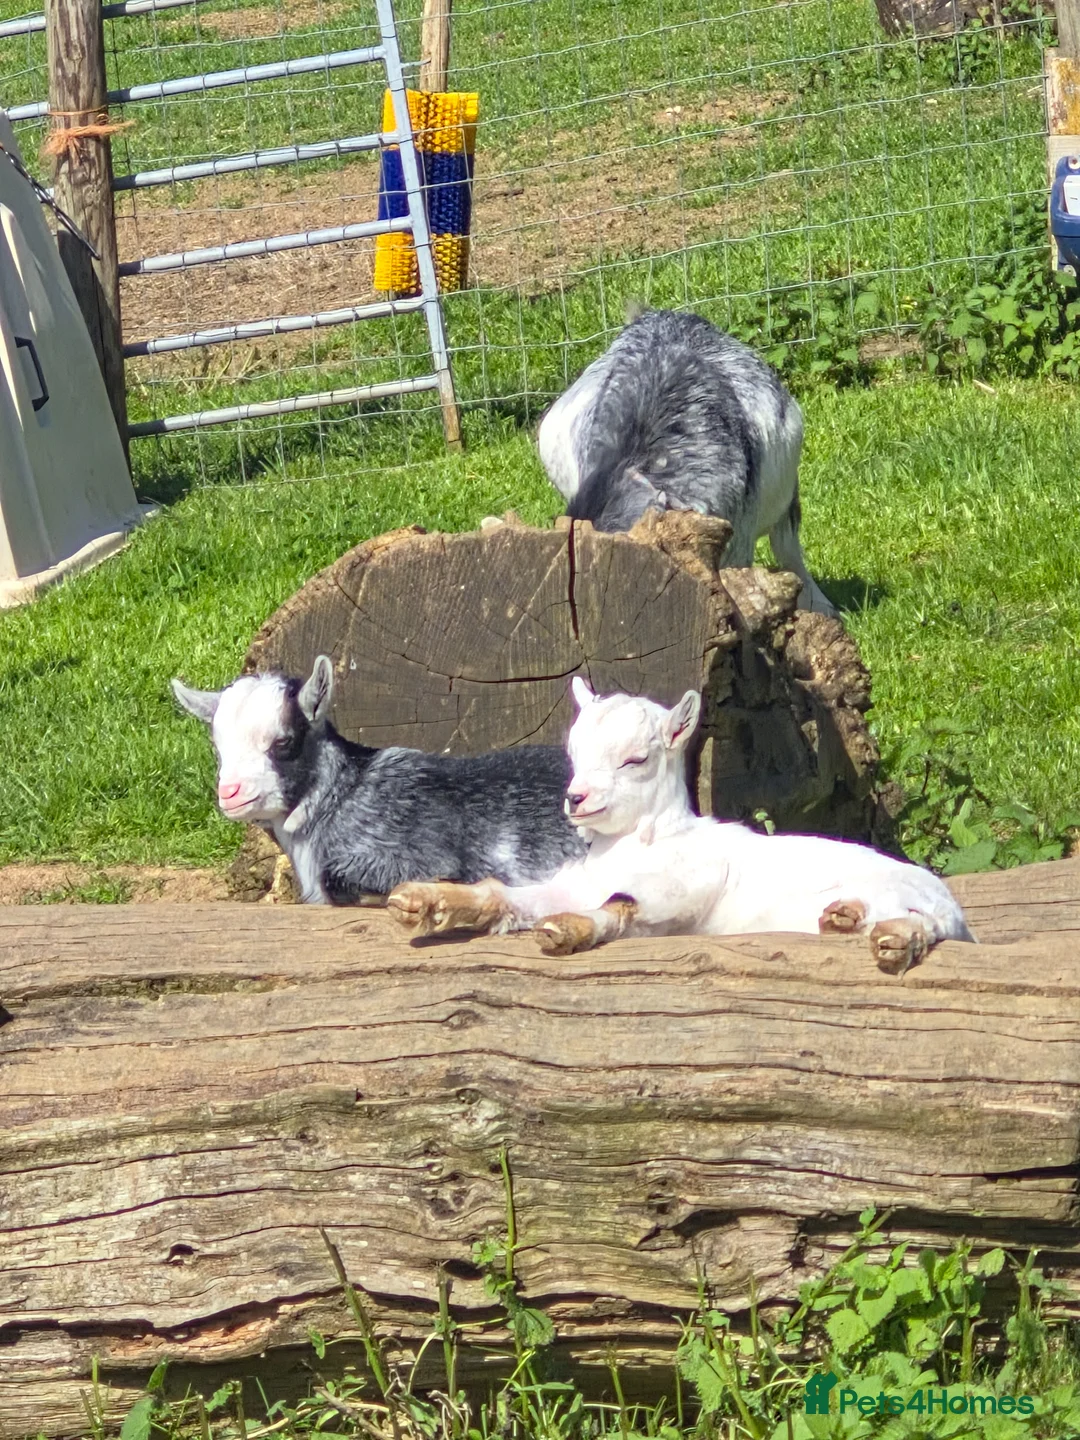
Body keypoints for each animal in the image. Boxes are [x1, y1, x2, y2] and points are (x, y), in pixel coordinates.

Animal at [388, 678, 974, 973]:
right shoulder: (572, 883)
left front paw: (570, 930)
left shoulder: (688, 885)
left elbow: (622, 908)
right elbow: (508, 896)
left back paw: (892, 938)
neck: (641, 844)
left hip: (909, 899)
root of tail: (952, 909)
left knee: (921, 927)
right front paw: (428, 901)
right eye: (573, 753)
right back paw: (844, 919)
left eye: (635, 759)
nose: (576, 799)